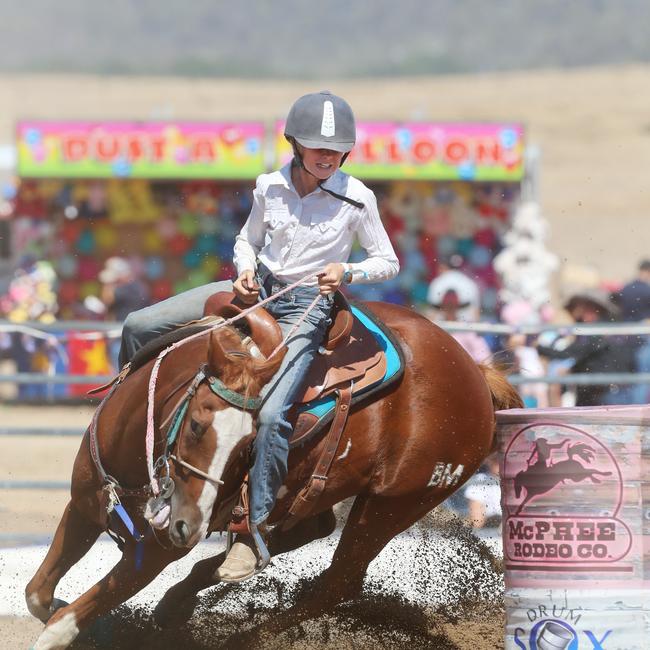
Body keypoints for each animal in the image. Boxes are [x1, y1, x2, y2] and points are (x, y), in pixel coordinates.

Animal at [26, 302, 520, 644]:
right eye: (197, 425)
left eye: (249, 446)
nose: (187, 526)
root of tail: (476, 373)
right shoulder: (84, 506)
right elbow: (38, 595)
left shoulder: (154, 554)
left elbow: (60, 624)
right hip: (321, 494)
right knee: (306, 530)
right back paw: (185, 598)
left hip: (393, 504)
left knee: (338, 582)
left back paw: (239, 636)